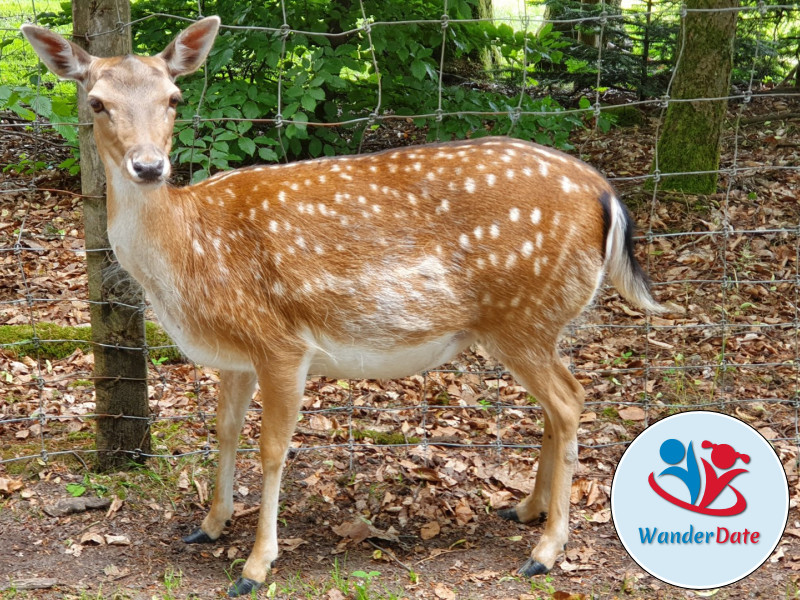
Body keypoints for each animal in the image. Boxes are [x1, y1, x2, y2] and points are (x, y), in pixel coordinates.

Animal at [21, 17, 664, 596]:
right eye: (97, 102)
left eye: (174, 98)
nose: (150, 166)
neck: (188, 256)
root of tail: (607, 195)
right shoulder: (235, 355)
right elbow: (224, 431)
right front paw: (210, 524)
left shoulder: (282, 342)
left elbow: (272, 449)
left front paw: (255, 566)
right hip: (532, 322)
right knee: (558, 404)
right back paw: (526, 511)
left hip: (523, 315)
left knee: (570, 400)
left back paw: (546, 551)